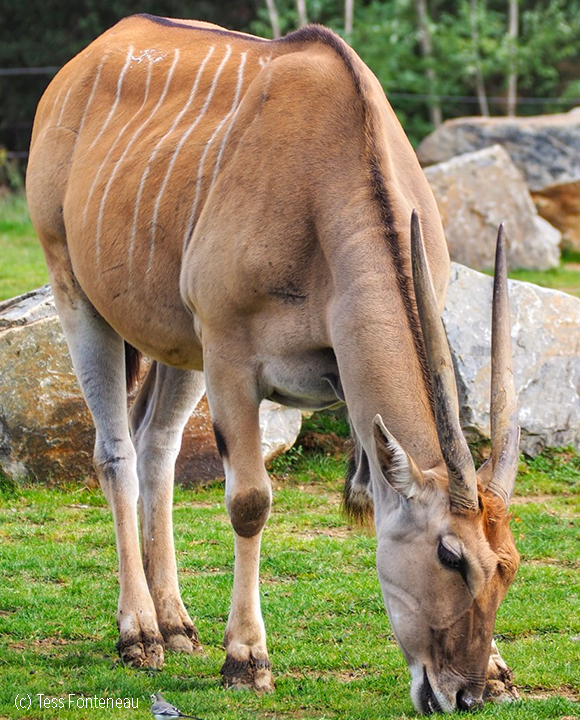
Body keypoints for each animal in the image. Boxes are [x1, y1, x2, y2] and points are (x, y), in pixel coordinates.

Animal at [26, 15, 520, 716]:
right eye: (449, 556)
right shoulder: (233, 361)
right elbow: (250, 502)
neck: (328, 179)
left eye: (507, 565)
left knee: (157, 446)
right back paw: (140, 632)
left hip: (183, 346)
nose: (465, 694)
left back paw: (175, 624)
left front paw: (502, 669)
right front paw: (247, 659)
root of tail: (79, 68)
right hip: (78, 295)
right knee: (115, 451)